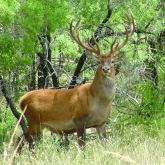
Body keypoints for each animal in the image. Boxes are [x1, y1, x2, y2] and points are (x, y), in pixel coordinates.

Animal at [16, 14, 135, 153]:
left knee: (27, 141)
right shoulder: (78, 119)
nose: (106, 69)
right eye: (99, 61)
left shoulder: (101, 123)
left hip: (36, 123)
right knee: (21, 139)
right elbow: (82, 146)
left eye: (112, 61)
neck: (99, 101)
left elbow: (105, 145)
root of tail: (21, 100)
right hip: (33, 119)